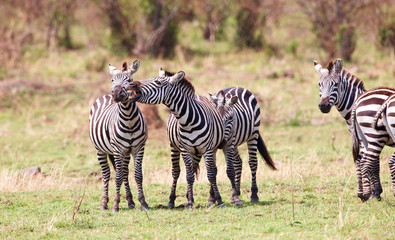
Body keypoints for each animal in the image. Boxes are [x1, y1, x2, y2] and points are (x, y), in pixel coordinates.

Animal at [89, 60, 149, 212]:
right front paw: (115, 204)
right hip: (100, 149)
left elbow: (138, 175)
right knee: (106, 174)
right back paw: (104, 202)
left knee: (125, 173)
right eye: (112, 80)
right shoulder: (117, 149)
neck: (129, 120)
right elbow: (117, 177)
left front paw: (143, 203)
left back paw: (130, 201)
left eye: (129, 80)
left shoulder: (139, 148)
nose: (116, 93)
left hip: (126, 152)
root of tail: (106, 96)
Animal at [314, 58, 382, 201]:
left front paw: (374, 193)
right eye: (319, 84)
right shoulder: (359, 137)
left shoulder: (373, 136)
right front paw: (364, 193)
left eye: (335, 84)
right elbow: (360, 160)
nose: (323, 106)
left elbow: (372, 161)